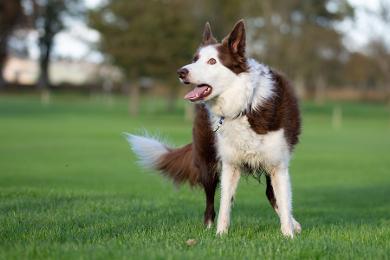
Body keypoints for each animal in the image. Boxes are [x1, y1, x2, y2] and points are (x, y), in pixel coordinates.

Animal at [125, 19, 302, 238]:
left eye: (212, 61)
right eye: (195, 59)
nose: (181, 72)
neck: (243, 105)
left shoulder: (277, 164)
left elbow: (283, 201)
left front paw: (288, 236)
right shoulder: (229, 164)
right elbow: (225, 203)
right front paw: (220, 235)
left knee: (272, 194)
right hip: (207, 160)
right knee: (210, 201)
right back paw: (209, 226)